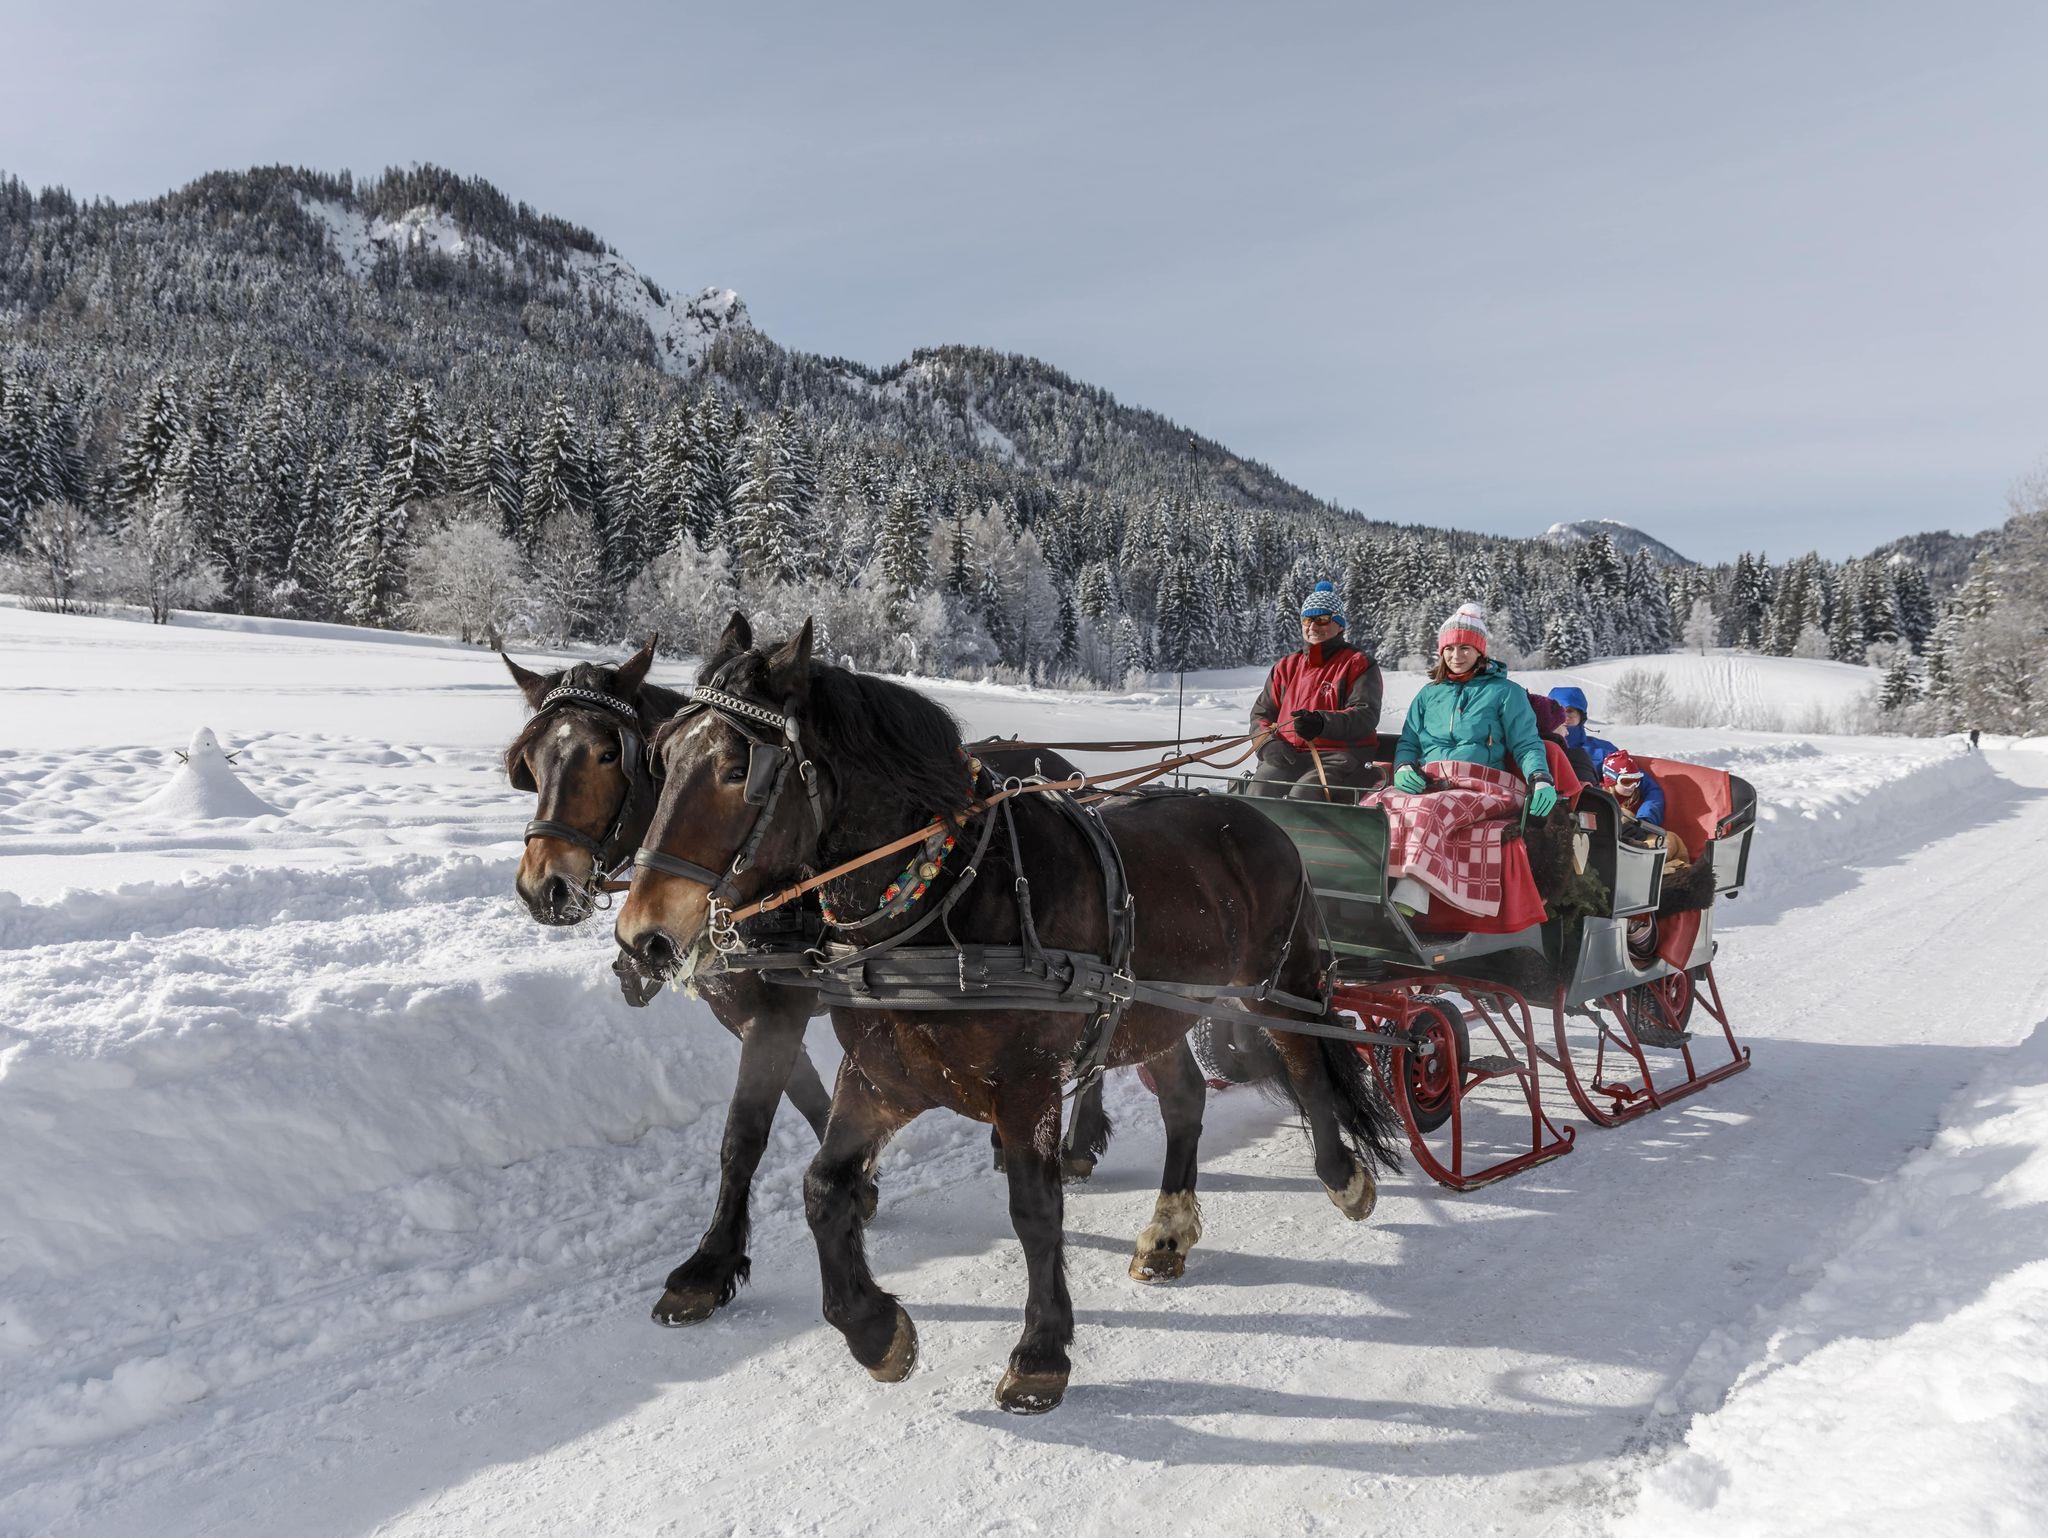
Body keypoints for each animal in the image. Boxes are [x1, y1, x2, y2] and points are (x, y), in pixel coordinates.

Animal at [500, 635, 1130, 1328]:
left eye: (609, 753)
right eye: (530, 762)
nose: (544, 888)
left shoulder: (779, 1011)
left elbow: (743, 1135)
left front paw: (709, 1265)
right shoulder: (754, 1013)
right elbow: (809, 1100)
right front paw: (863, 1186)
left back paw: (1079, 1141)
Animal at [613, 615, 1402, 1413]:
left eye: (737, 768)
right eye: (661, 756)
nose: (642, 938)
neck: (941, 901)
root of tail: (1255, 813)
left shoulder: (1024, 1087)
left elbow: (1034, 1208)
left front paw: (1042, 1350)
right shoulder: (881, 1076)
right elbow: (819, 1187)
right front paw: (874, 1329)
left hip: (1277, 984)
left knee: (1308, 1064)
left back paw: (1343, 1175)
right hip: (1152, 1013)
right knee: (1185, 1100)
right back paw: (1169, 1232)